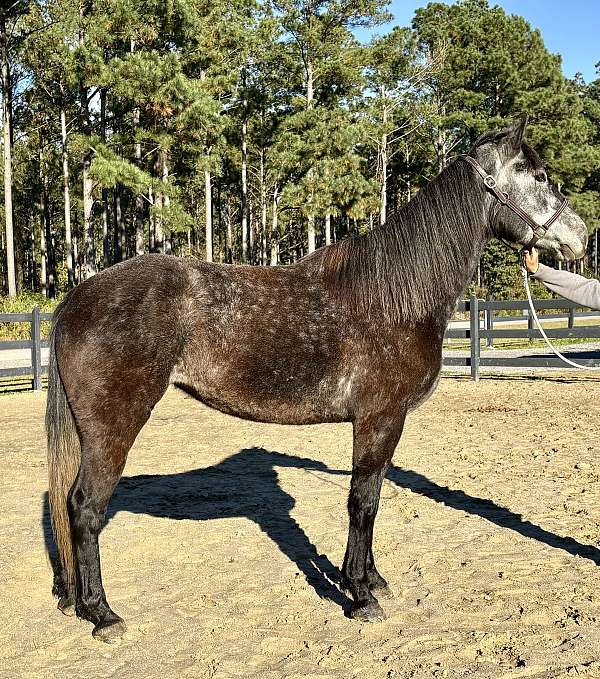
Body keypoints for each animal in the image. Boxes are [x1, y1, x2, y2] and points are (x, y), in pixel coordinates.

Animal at [46, 116, 587, 641]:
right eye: (537, 175)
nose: (581, 236)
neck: (395, 296)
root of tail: (77, 297)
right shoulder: (380, 418)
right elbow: (363, 501)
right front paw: (360, 596)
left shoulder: (382, 424)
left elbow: (373, 495)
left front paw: (371, 580)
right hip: (112, 429)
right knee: (84, 508)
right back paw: (103, 615)